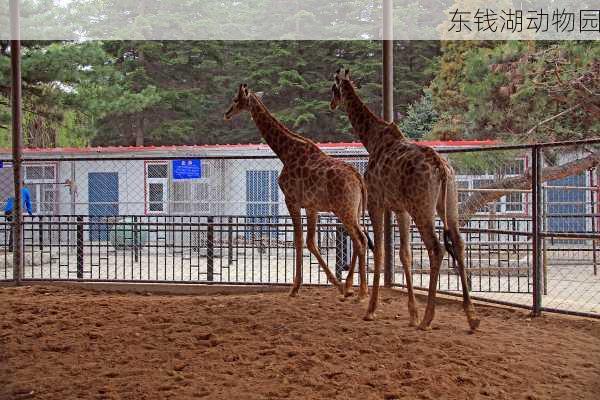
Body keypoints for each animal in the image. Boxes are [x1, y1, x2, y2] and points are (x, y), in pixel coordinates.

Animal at [225, 83, 370, 296]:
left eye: (236, 100)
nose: (227, 113)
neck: (285, 151)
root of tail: (359, 179)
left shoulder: (291, 200)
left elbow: (298, 240)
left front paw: (295, 287)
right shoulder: (311, 206)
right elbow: (310, 241)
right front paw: (335, 283)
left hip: (344, 209)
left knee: (360, 240)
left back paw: (358, 289)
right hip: (355, 210)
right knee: (362, 238)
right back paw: (353, 287)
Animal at [330, 69, 480, 332]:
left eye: (333, 88)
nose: (331, 103)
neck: (372, 139)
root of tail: (441, 168)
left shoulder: (377, 202)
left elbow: (379, 251)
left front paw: (371, 310)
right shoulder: (401, 209)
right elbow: (404, 254)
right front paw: (412, 314)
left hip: (423, 208)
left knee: (437, 248)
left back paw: (429, 318)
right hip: (448, 204)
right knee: (459, 243)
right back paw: (471, 316)